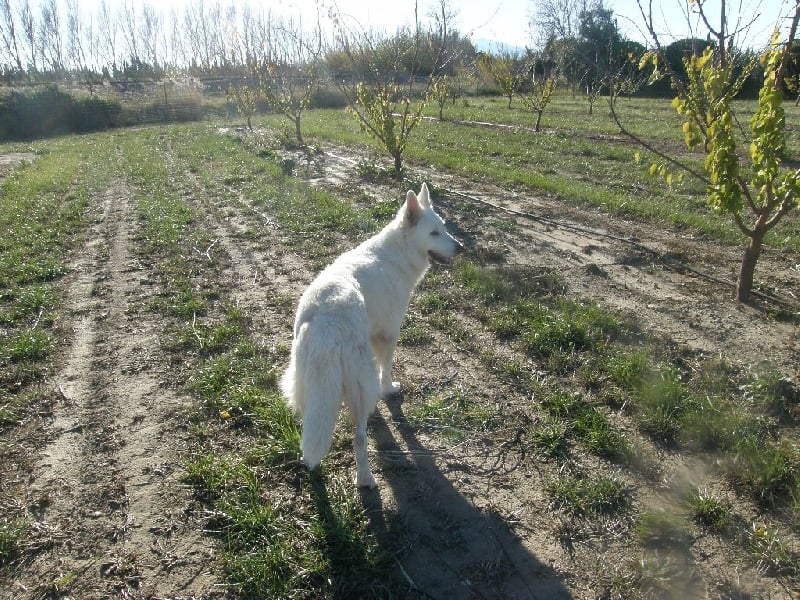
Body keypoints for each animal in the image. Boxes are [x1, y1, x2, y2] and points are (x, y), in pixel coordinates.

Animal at [282, 183, 462, 488]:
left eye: (444, 229)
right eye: (434, 233)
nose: (461, 248)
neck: (397, 252)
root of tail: (326, 323)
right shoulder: (389, 334)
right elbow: (386, 370)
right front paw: (388, 390)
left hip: (306, 385)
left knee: (311, 428)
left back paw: (311, 465)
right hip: (354, 383)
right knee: (360, 438)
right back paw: (365, 478)